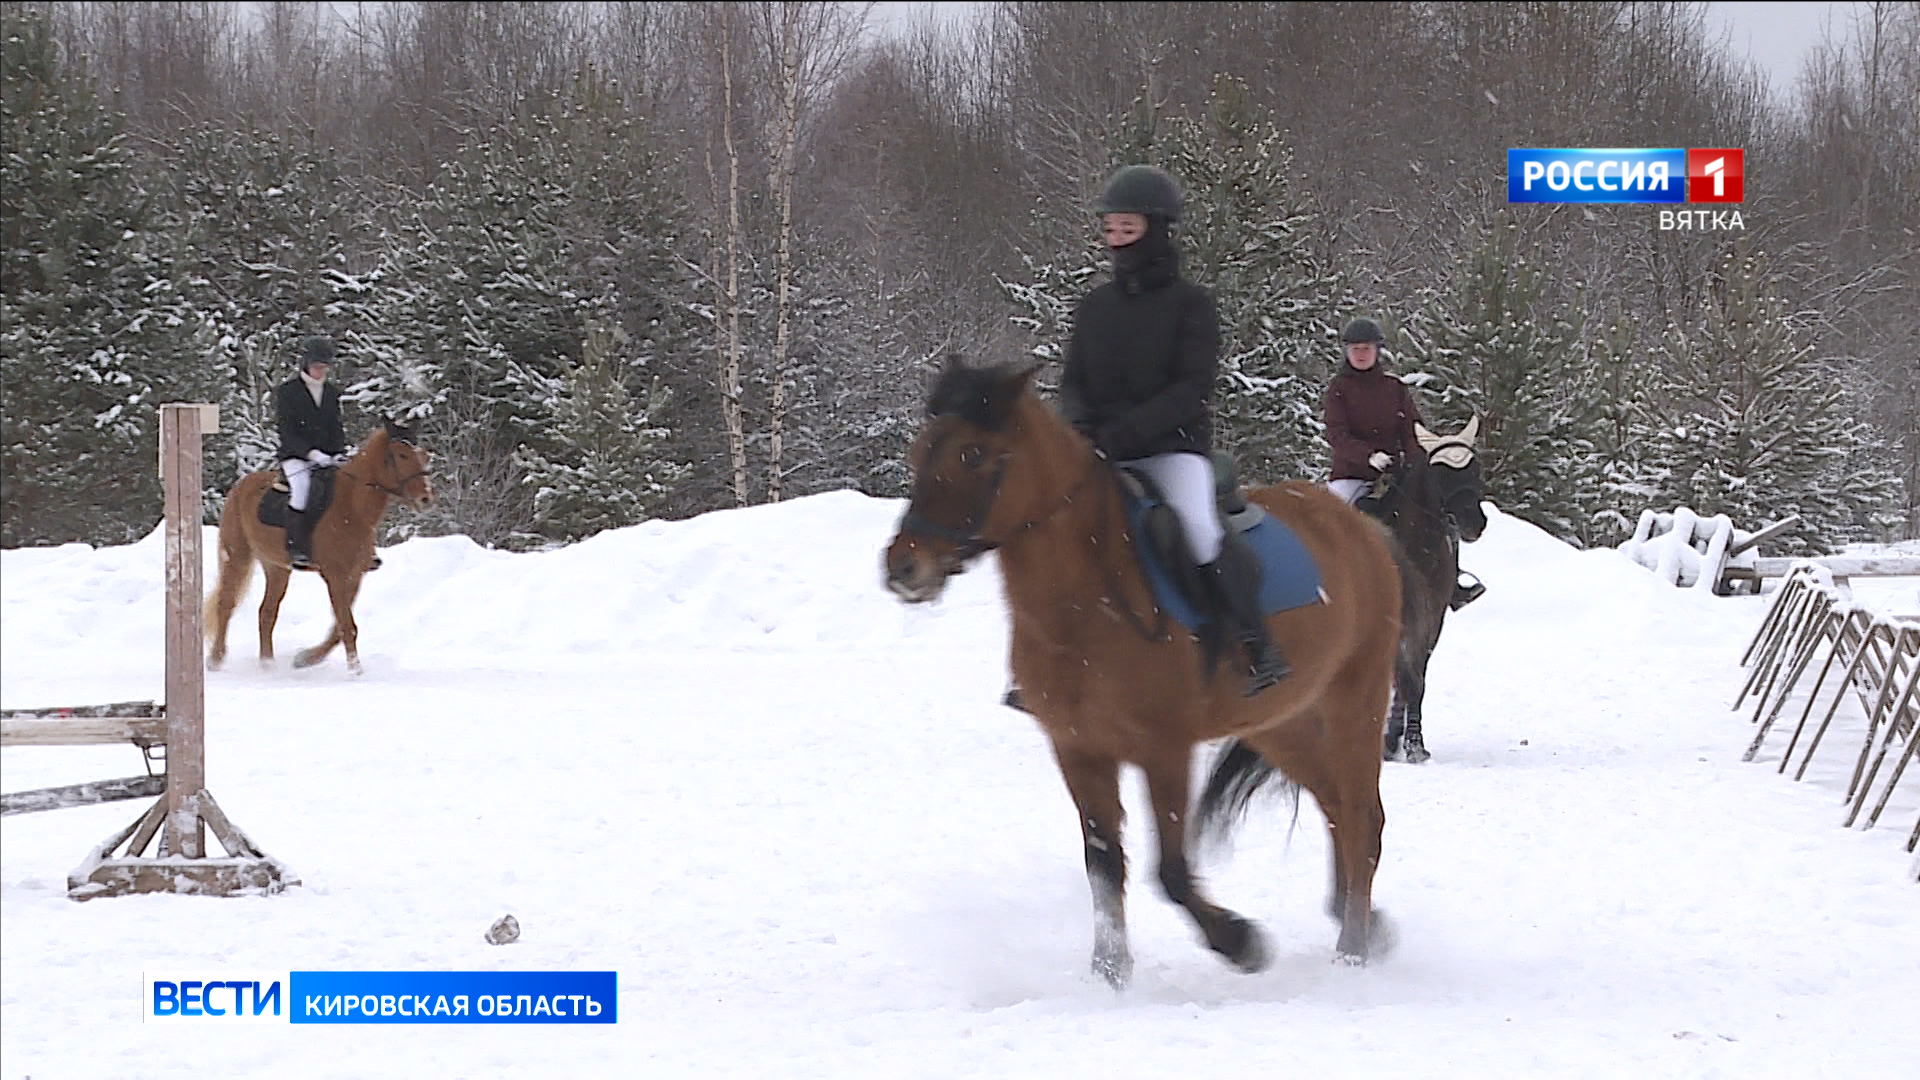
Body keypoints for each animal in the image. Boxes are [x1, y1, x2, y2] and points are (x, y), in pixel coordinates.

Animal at [210, 420, 435, 672]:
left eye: (423, 455)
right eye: (402, 455)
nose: (426, 498)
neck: (352, 508)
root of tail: (240, 485)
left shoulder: (354, 576)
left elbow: (340, 627)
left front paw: (306, 658)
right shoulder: (334, 574)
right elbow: (346, 625)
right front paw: (355, 670)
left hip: (277, 568)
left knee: (266, 612)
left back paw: (267, 664)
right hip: (236, 556)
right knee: (226, 604)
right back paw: (215, 660)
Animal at [887, 357, 1413, 980]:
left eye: (972, 454)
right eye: (920, 451)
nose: (902, 568)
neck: (1084, 606)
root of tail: (1361, 528)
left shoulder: (1165, 749)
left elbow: (1171, 870)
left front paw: (1240, 942)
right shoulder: (1078, 748)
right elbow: (1103, 862)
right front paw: (1110, 971)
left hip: (1355, 700)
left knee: (1362, 816)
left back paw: (1353, 946)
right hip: (1280, 724)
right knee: (1335, 805)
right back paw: (1365, 924)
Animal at [1374, 417, 1489, 760]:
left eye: (1475, 469)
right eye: (1441, 474)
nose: (1474, 523)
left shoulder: (1431, 620)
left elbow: (1416, 680)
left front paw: (1410, 741)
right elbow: (1406, 678)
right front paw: (1406, 744)